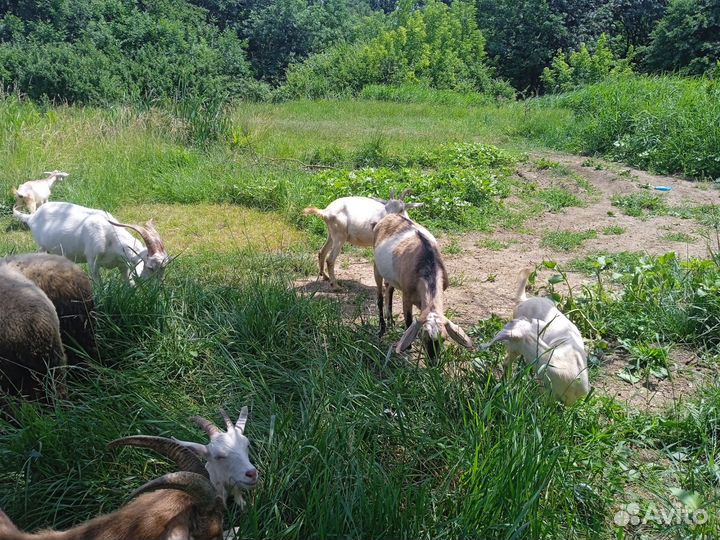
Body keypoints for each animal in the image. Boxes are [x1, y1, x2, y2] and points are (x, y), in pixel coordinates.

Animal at [13, 202, 168, 284]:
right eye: (150, 267)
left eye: (164, 268)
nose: (156, 288)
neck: (109, 235)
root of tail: (32, 217)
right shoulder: (92, 260)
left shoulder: (122, 264)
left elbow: (128, 283)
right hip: (41, 247)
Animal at [373, 213, 473, 359]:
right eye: (424, 338)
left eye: (443, 339)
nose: (433, 362)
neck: (428, 263)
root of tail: (391, 215)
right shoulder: (407, 295)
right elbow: (409, 320)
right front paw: (408, 347)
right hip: (376, 267)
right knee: (380, 297)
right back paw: (382, 328)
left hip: (392, 277)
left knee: (390, 289)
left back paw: (391, 322)